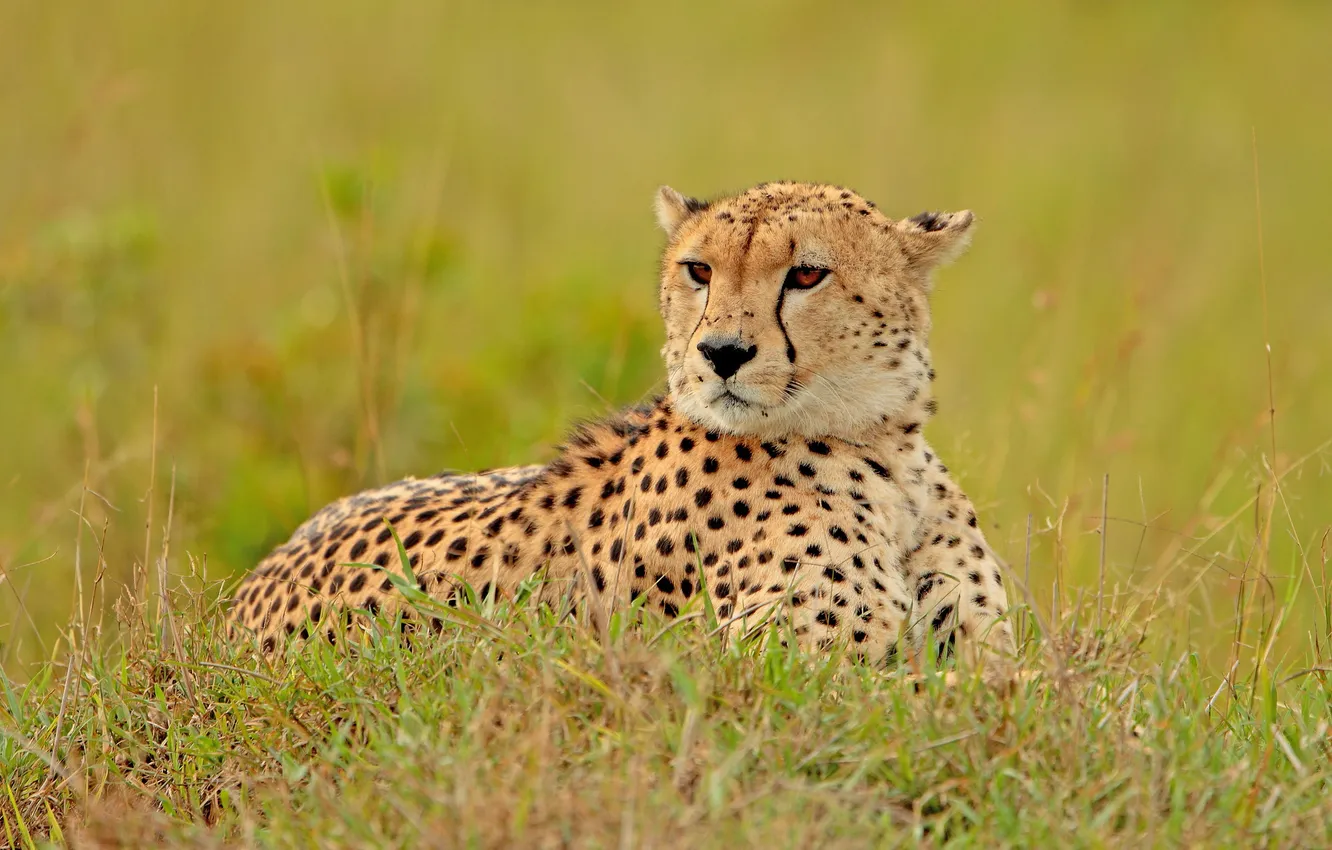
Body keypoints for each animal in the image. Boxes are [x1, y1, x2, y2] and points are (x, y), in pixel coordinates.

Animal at [226, 181, 1016, 679]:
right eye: (699, 270)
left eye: (807, 275)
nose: (721, 352)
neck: (881, 447)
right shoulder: (796, 671)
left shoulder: (981, 651)